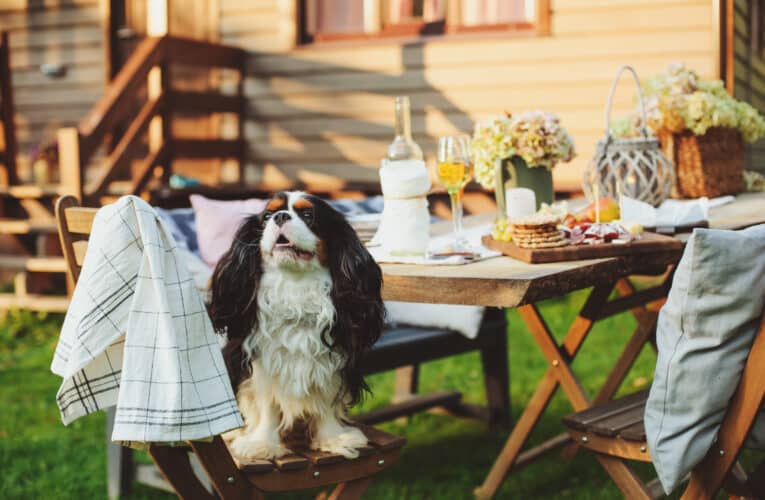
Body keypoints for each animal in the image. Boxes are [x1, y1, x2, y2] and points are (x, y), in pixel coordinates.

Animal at [210, 191, 382, 460]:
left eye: (308, 215)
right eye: (267, 216)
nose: (280, 216)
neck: (295, 288)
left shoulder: (332, 362)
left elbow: (325, 401)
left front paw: (333, 438)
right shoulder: (261, 363)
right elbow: (267, 405)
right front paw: (262, 443)